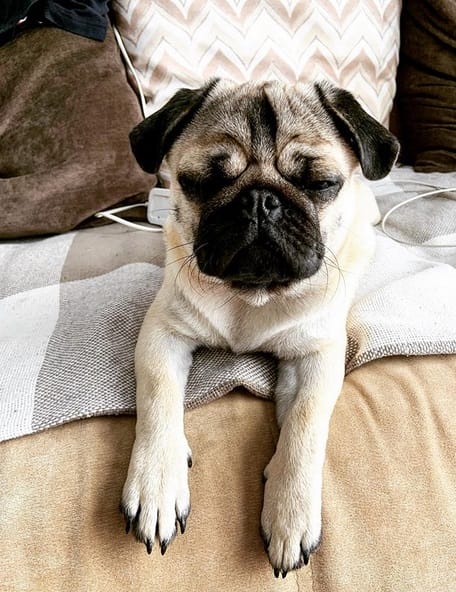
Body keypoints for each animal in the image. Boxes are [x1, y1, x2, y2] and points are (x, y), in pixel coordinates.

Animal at [120, 78, 399, 577]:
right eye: (203, 182)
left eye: (320, 184)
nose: (260, 200)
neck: (252, 295)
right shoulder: (162, 331)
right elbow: (157, 396)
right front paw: (157, 483)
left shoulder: (318, 355)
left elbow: (306, 422)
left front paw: (291, 512)